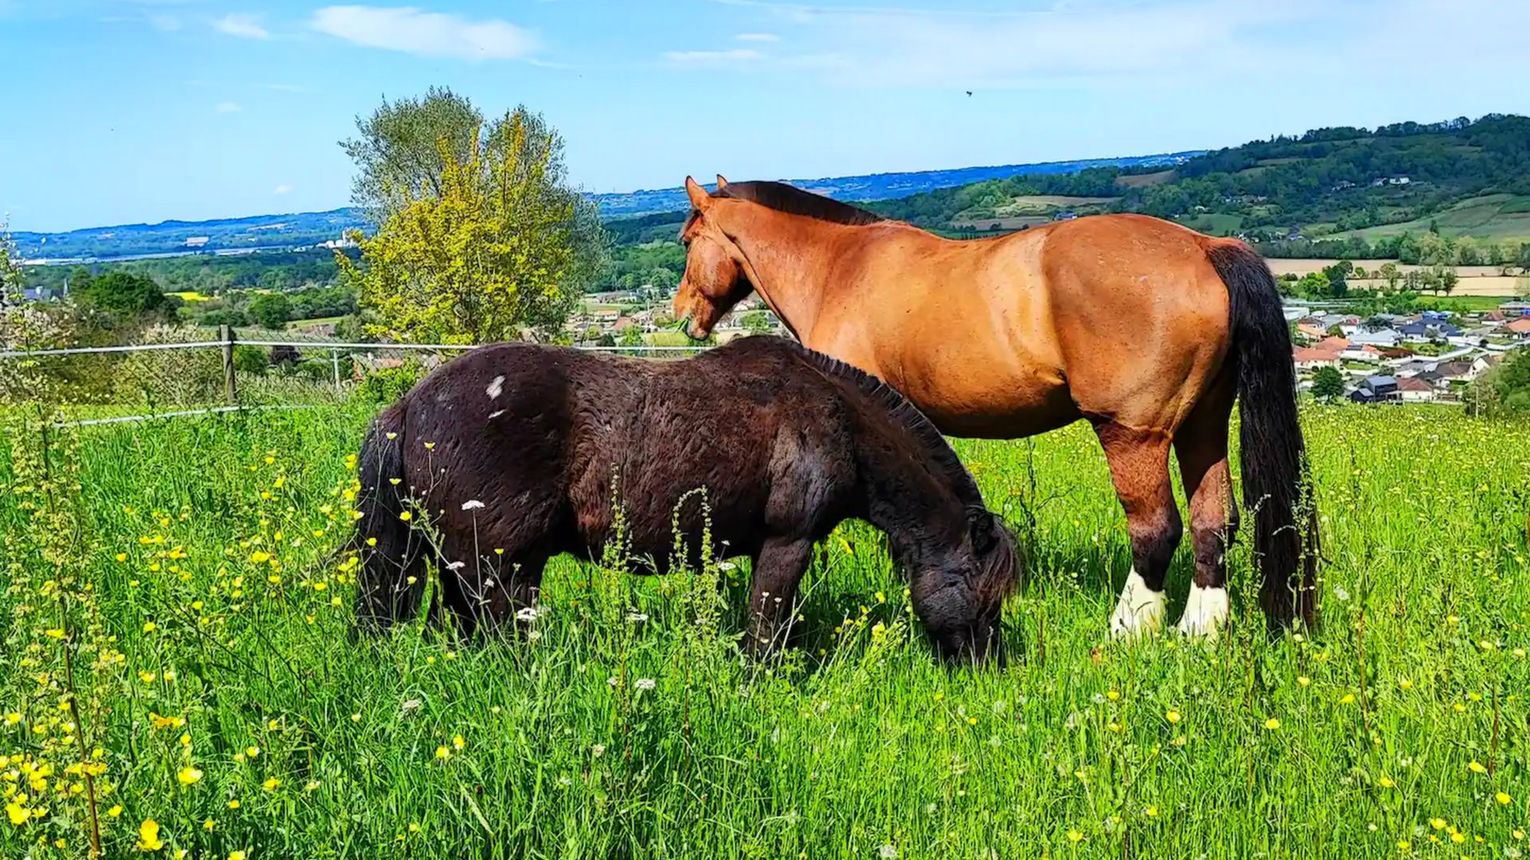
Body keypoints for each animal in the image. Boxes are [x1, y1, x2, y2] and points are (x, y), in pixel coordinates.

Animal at [347, 333, 1015, 654]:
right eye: (985, 595)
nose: (987, 664)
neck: (836, 420)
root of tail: (411, 404)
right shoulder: (787, 542)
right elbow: (766, 632)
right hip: (498, 568)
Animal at [676, 175, 1321, 636]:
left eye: (686, 241)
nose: (685, 318)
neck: (841, 267)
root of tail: (1206, 247)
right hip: (1201, 426)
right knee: (1216, 522)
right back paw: (1199, 631)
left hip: (1133, 434)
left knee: (1156, 529)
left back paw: (1125, 630)